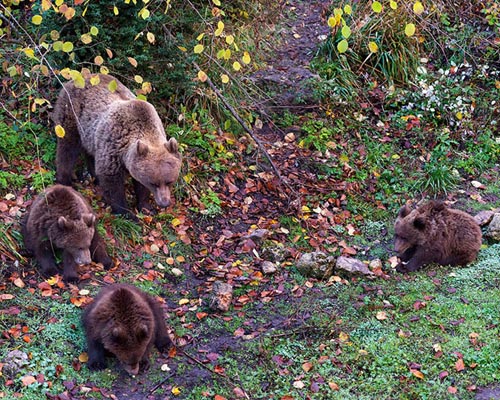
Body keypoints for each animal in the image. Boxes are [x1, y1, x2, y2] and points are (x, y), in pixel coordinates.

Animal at [52, 73, 182, 217]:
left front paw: (146, 207)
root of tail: (76, 77)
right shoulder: (114, 146)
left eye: (170, 181)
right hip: (71, 115)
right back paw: (65, 180)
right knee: (67, 147)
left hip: (91, 134)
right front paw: (127, 213)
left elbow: (139, 185)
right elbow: (112, 183)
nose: (164, 203)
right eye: (154, 183)